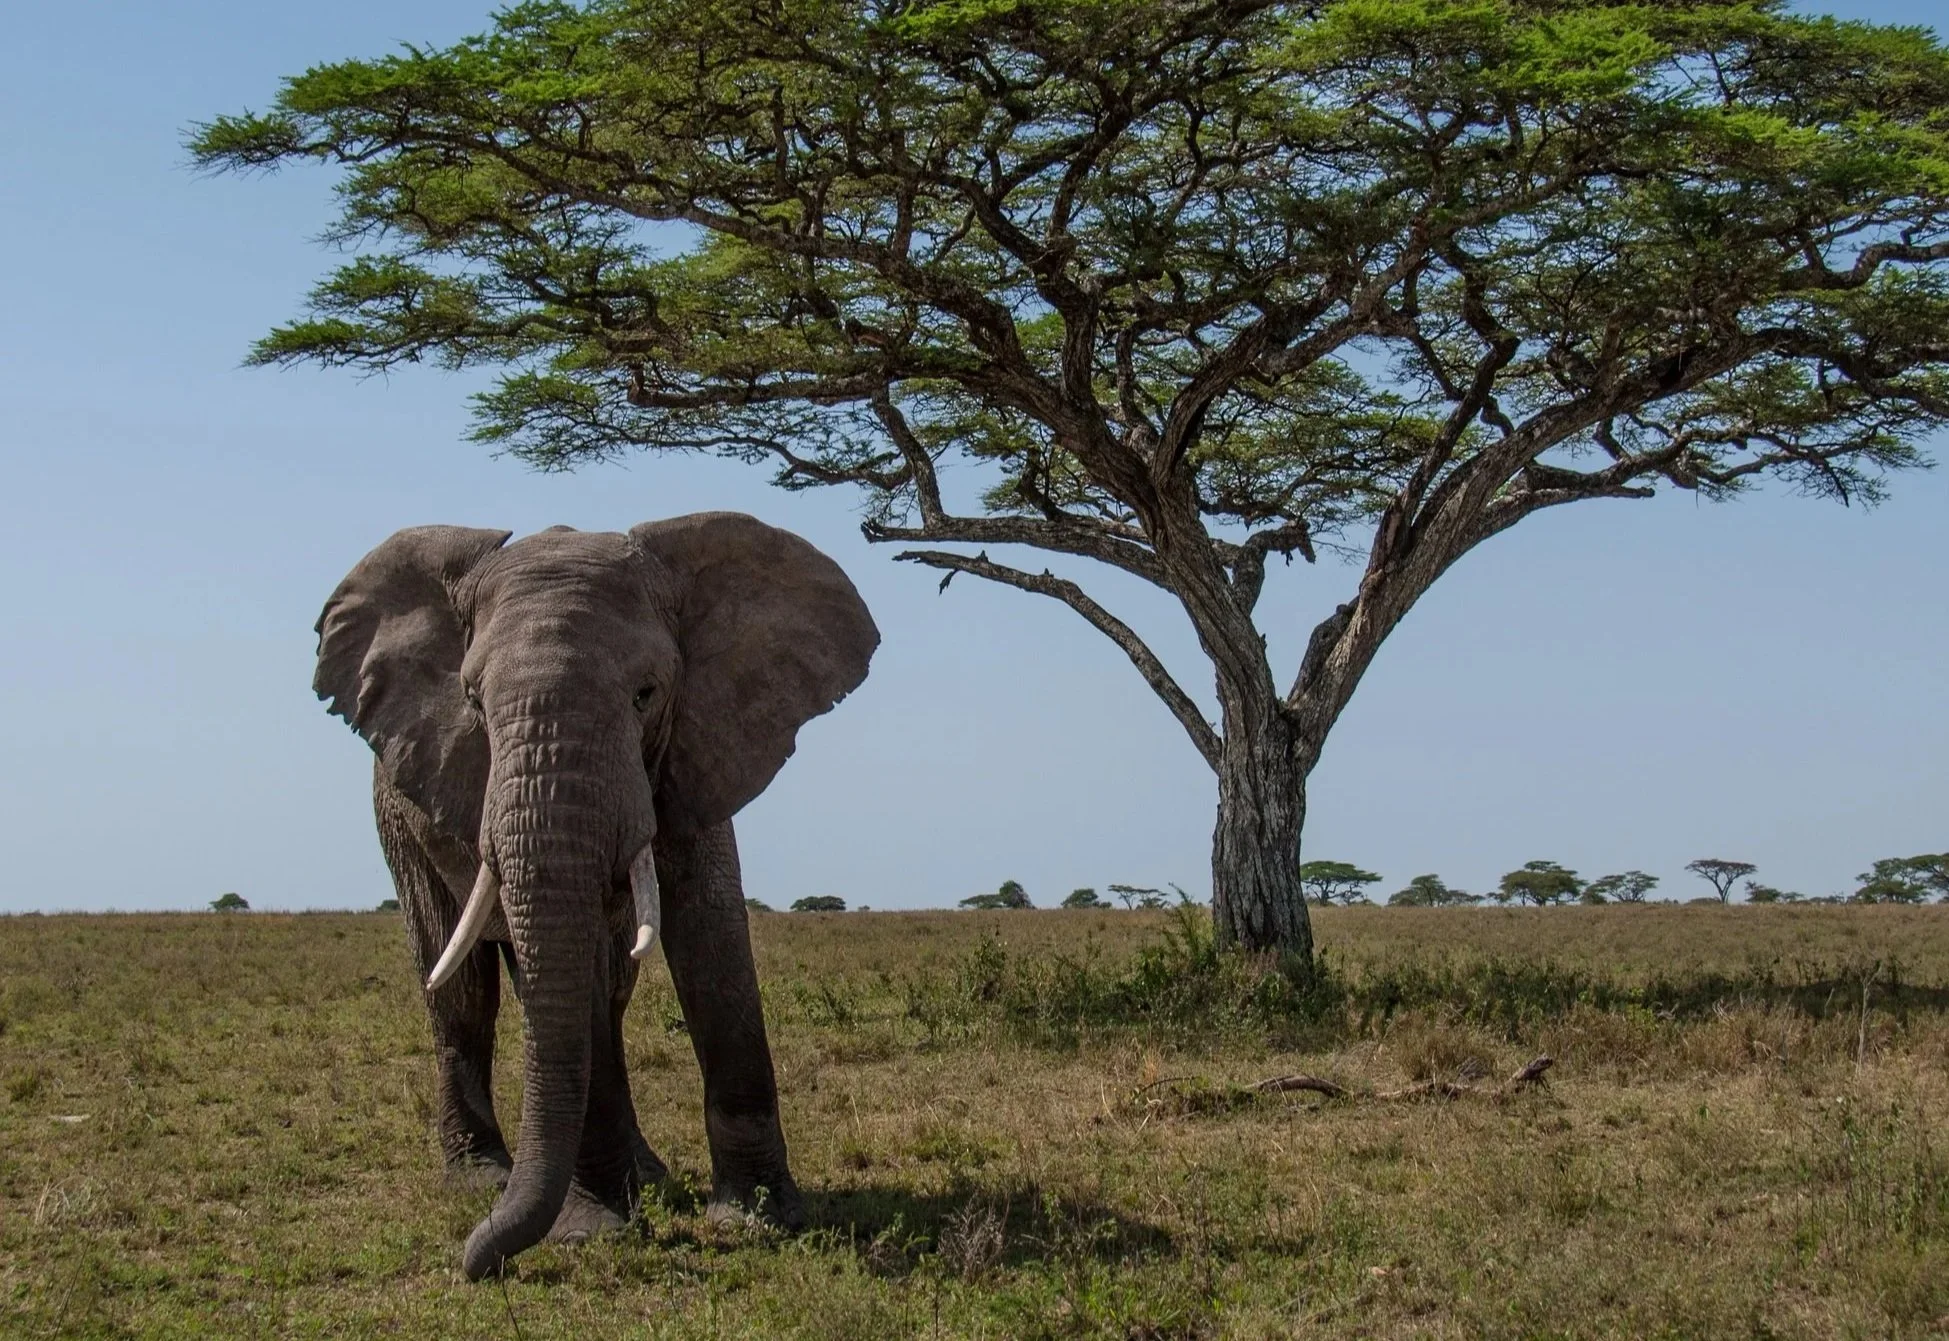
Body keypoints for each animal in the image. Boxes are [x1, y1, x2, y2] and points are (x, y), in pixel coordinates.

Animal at [313, 513, 878, 1279]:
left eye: (646, 693)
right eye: (473, 702)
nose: (478, 1264)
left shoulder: (701, 743)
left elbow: (712, 936)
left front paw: (758, 1219)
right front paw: (593, 1231)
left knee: (608, 990)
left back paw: (649, 1177)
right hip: (395, 817)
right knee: (460, 988)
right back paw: (483, 1179)